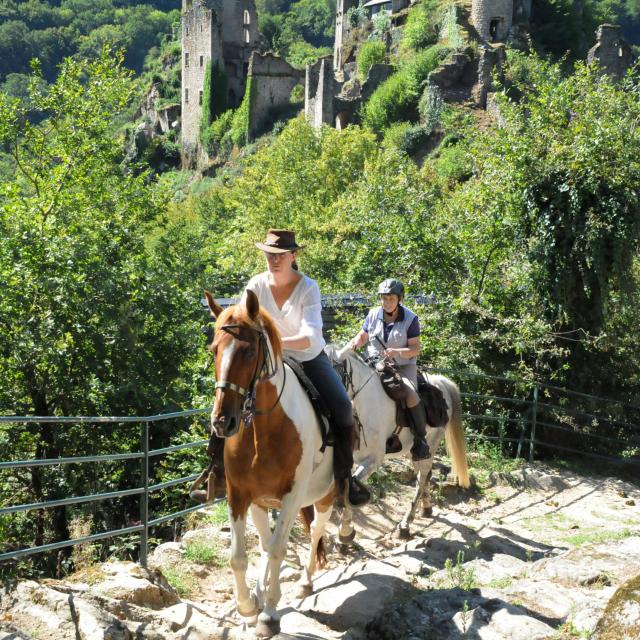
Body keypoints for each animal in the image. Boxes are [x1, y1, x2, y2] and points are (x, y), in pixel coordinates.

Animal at [205, 292, 336, 636]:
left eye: (249, 351)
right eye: (214, 350)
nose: (222, 422)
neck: (263, 431)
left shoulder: (292, 496)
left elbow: (279, 549)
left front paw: (269, 613)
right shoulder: (240, 495)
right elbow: (239, 556)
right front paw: (248, 605)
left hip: (326, 495)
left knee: (315, 531)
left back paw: (303, 583)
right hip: (261, 503)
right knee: (266, 542)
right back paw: (260, 592)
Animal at [324, 344, 470, 540]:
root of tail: (441, 382)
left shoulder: (374, 459)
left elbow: (350, 487)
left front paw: (345, 532)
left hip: (428, 447)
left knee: (421, 478)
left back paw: (405, 524)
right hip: (413, 452)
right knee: (425, 476)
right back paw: (426, 508)